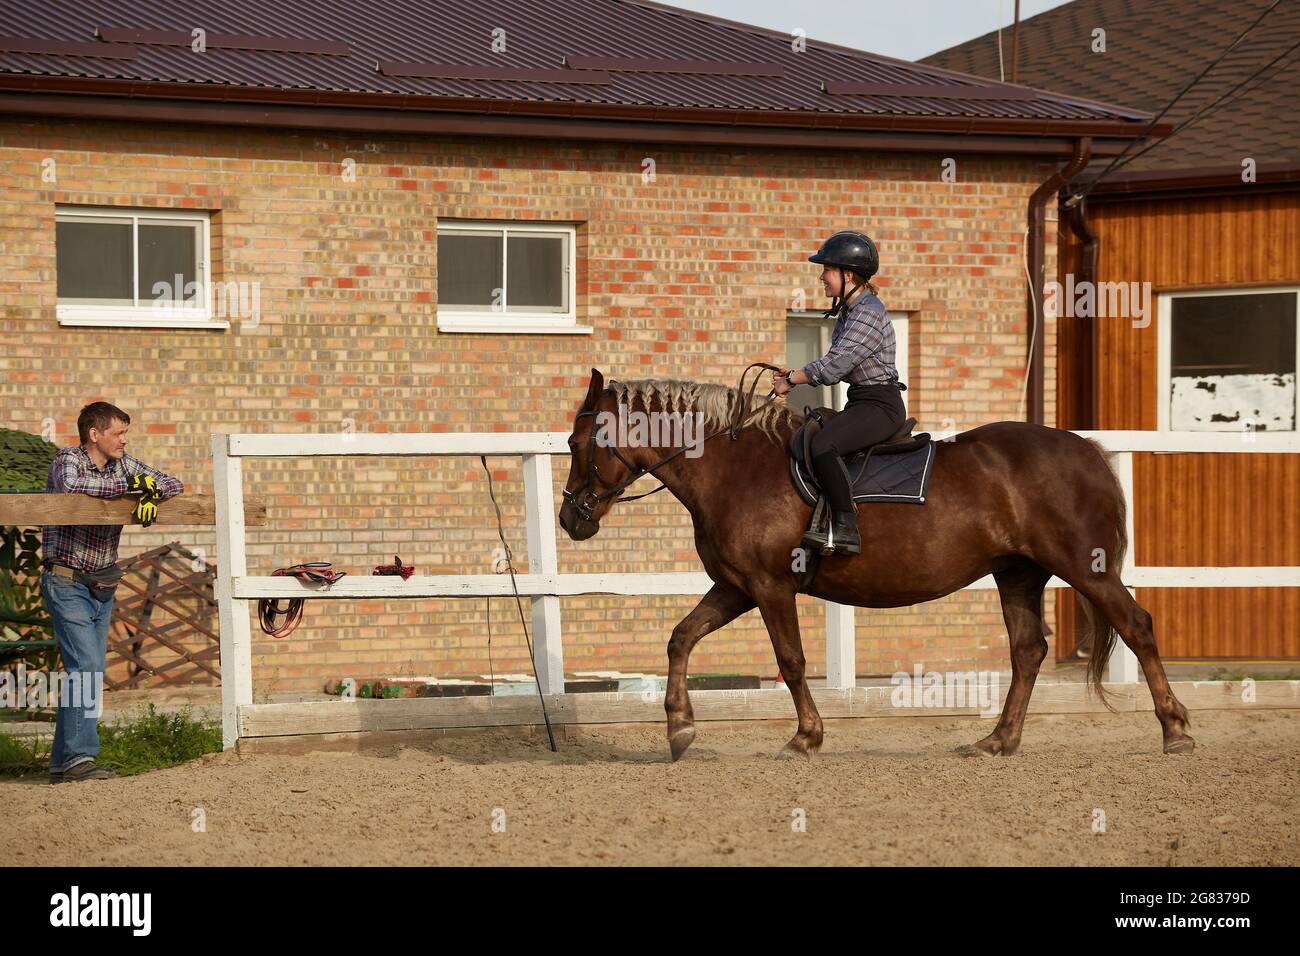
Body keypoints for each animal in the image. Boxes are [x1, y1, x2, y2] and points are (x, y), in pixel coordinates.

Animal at [553, 369, 1190, 764]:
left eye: (578, 441)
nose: (570, 518)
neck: (737, 469)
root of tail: (1086, 449)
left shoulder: (769, 586)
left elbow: (791, 661)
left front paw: (805, 739)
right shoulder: (735, 588)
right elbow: (680, 639)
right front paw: (680, 728)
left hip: (1088, 570)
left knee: (1137, 628)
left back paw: (1174, 728)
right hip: (1018, 574)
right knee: (1028, 652)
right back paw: (997, 741)